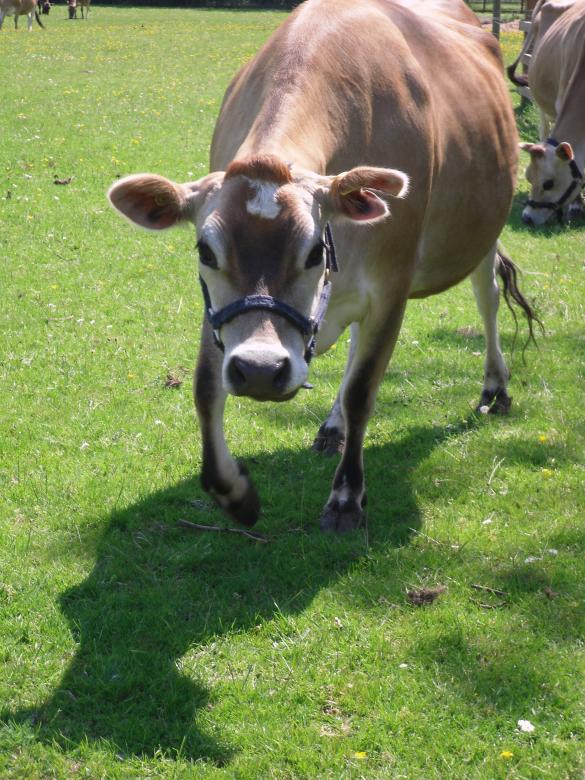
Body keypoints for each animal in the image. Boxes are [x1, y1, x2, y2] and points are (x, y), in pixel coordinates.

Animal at [108, 0, 538, 533]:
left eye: (314, 251)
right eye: (206, 252)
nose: (258, 370)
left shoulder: (391, 285)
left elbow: (362, 391)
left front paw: (347, 498)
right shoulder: (219, 312)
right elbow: (206, 387)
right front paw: (235, 494)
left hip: (482, 231)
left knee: (488, 298)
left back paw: (495, 386)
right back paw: (333, 426)